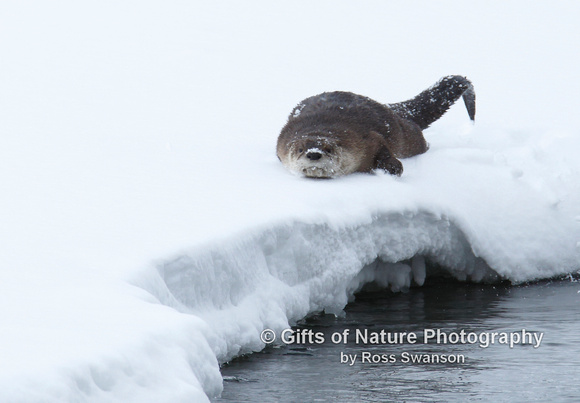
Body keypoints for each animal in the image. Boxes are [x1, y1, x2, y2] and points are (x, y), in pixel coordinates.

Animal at [276, 74, 476, 178]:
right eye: (301, 149)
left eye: (328, 149)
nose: (314, 154)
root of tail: (387, 107)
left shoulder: (365, 139)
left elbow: (383, 149)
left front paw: (393, 168)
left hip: (407, 138)